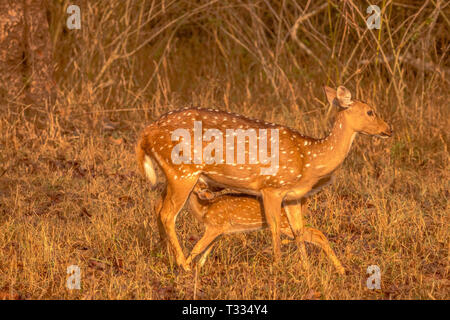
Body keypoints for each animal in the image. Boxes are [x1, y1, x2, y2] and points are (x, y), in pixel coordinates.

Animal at [136, 85, 390, 270]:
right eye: (370, 111)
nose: (389, 129)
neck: (309, 159)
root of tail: (147, 132)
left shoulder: (292, 196)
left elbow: (299, 231)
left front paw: (306, 269)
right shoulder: (272, 187)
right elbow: (275, 227)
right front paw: (279, 268)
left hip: (172, 174)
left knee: (157, 208)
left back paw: (165, 256)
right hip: (183, 172)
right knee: (167, 214)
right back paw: (183, 265)